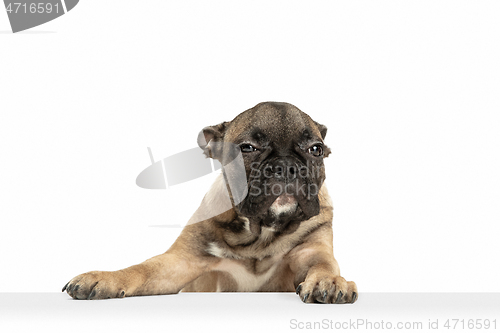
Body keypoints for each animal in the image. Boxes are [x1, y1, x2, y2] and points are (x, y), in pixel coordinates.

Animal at [62, 102, 358, 304]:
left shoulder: (312, 252)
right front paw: (106, 277)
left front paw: (331, 281)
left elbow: (322, 265)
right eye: (247, 148)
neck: (261, 231)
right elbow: (142, 268)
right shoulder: (180, 262)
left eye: (316, 149)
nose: (286, 166)